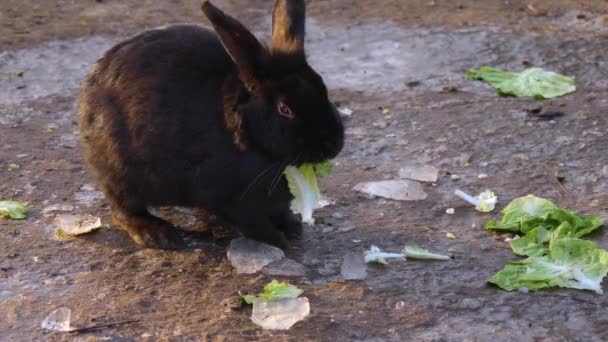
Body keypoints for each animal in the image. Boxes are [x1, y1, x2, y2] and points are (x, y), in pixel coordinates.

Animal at [77, 0, 342, 251]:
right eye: (284, 109)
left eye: (323, 88)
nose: (333, 144)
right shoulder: (229, 197)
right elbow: (253, 222)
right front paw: (278, 240)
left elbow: (280, 211)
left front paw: (293, 227)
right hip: (119, 172)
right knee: (123, 209)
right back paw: (157, 234)